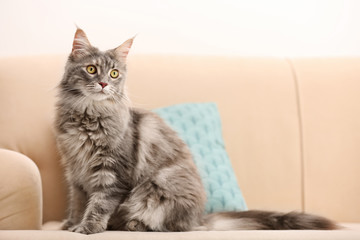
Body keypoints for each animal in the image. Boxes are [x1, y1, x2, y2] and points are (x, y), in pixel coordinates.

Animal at [54, 28, 338, 234]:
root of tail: (200, 218)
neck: (88, 117)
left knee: (168, 225)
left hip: (156, 190)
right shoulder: (75, 172)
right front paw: (71, 224)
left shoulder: (111, 173)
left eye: (114, 74)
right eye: (92, 69)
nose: (103, 84)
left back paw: (136, 225)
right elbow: (78, 203)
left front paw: (87, 228)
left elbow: (99, 204)